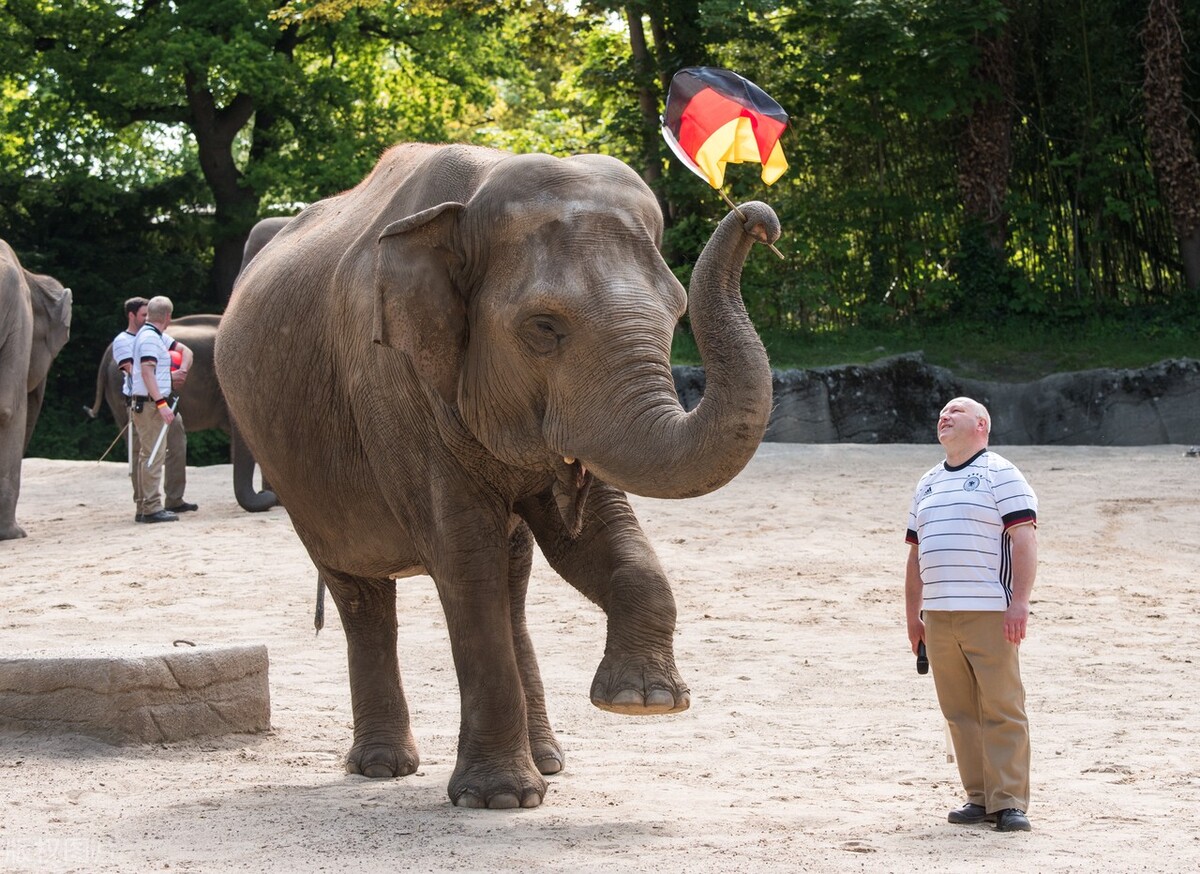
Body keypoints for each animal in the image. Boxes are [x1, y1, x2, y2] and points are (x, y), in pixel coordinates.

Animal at [216, 142, 779, 809]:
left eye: (675, 312)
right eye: (543, 327)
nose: (758, 219)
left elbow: (592, 535)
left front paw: (641, 702)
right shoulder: (395, 386)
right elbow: (463, 557)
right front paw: (501, 799)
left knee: (512, 584)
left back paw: (549, 762)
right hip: (297, 478)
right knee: (363, 592)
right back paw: (384, 768)